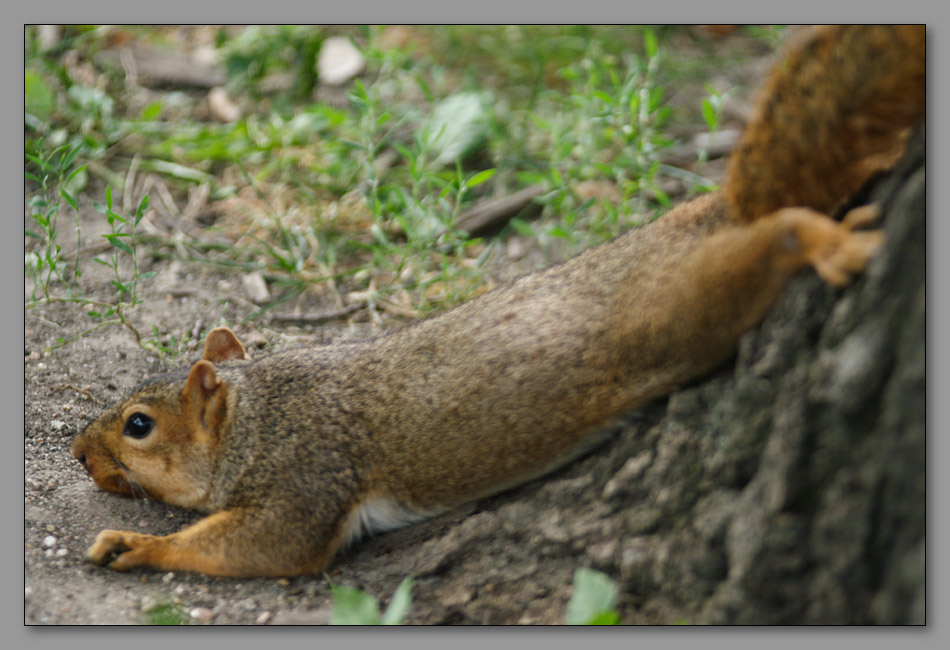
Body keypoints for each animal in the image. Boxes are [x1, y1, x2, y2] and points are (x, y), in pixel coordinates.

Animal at [72, 25, 924, 576]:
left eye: (139, 426)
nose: (80, 454)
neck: (258, 416)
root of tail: (714, 211)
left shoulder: (305, 478)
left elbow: (266, 547)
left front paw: (134, 546)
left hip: (690, 306)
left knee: (774, 239)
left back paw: (829, 242)